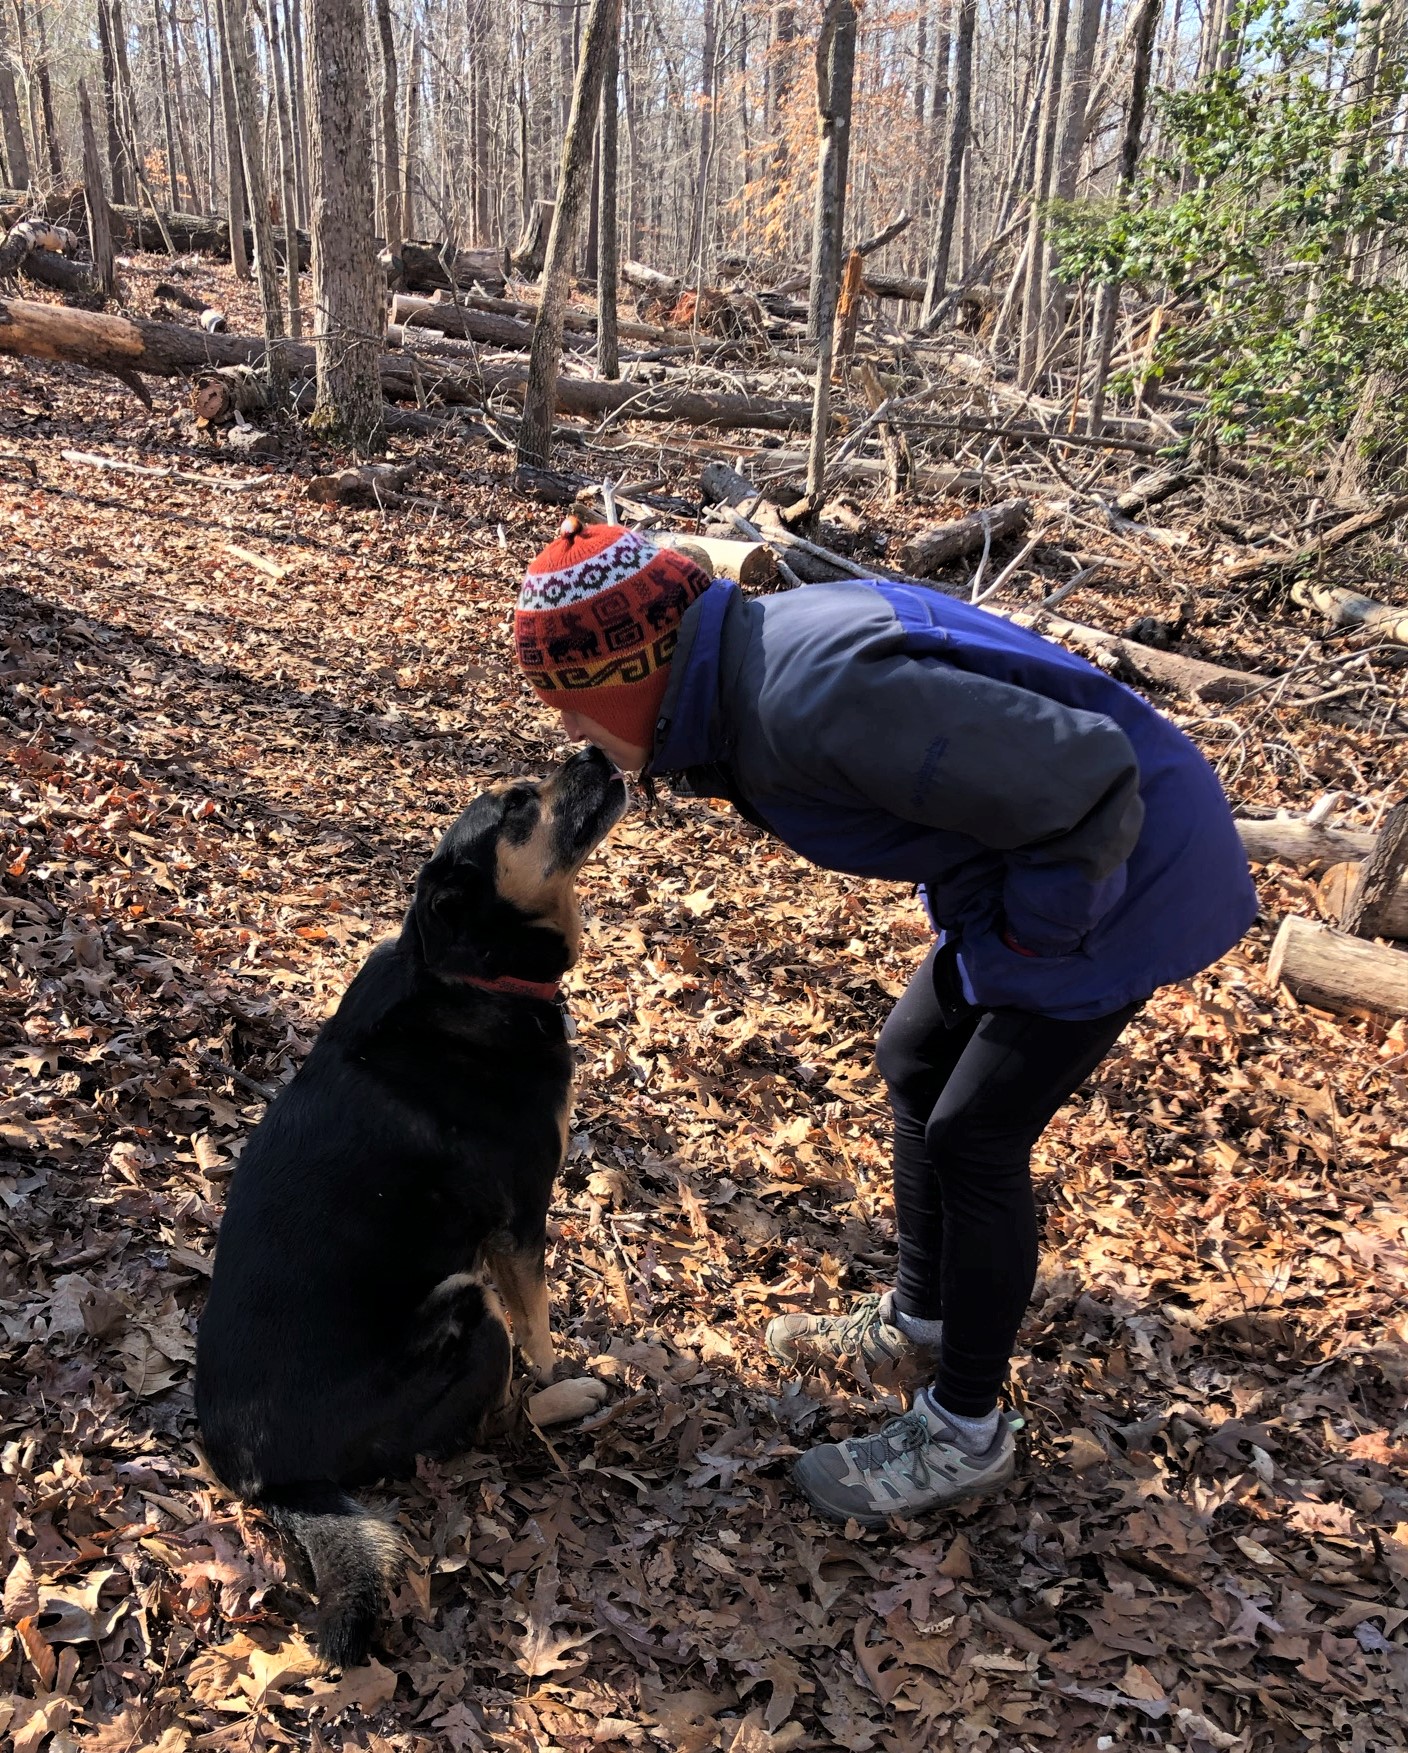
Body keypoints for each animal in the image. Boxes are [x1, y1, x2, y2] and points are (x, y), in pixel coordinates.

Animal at [192, 743, 627, 1668]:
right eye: (518, 801)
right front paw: (563, 1370)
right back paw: (571, 1400)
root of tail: (266, 1480)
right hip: (466, 1309)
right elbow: (540, 1332)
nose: (599, 750)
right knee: (496, 1416)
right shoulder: (521, 1215)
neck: (471, 968)